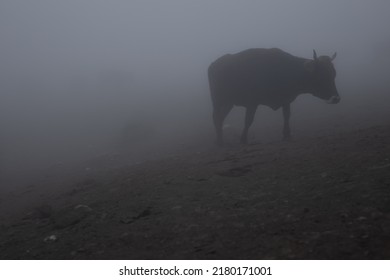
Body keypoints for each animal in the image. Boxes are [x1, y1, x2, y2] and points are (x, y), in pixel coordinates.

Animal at [207, 47, 338, 145]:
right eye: (322, 75)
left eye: (334, 74)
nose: (336, 98)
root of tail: (213, 65)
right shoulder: (252, 103)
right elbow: (248, 120)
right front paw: (243, 139)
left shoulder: (286, 100)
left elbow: (286, 116)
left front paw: (287, 135)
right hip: (218, 101)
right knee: (216, 117)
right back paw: (220, 141)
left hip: (228, 103)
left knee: (220, 118)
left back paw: (220, 140)